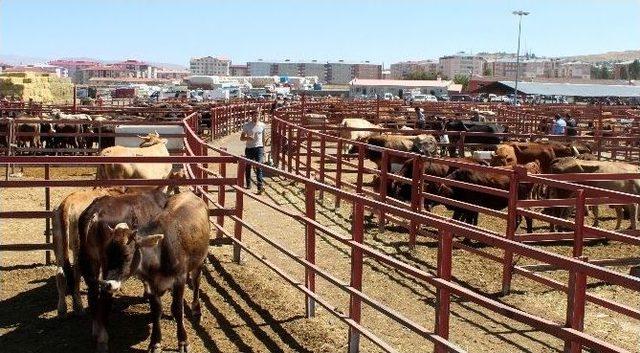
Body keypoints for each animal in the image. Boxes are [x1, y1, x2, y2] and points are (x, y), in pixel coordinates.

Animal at [77, 187, 170, 352]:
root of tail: (95, 212)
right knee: (105, 295)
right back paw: (103, 338)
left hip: (90, 259)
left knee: (93, 292)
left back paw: (96, 329)